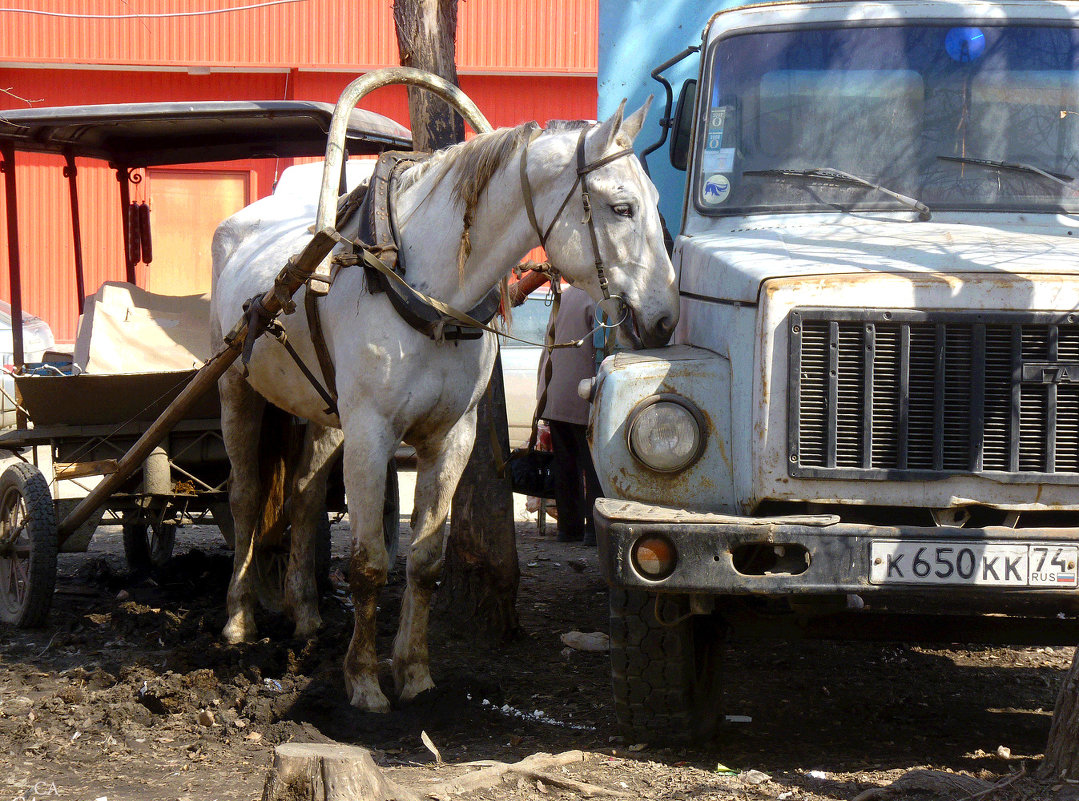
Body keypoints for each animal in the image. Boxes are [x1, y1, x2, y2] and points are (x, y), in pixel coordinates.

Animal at [209, 102, 677, 716]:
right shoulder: (371, 435)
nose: (665, 319)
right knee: (244, 498)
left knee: (305, 500)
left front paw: (413, 672)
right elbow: (368, 563)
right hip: (236, 387)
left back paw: (305, 614)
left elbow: (426, 561)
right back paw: (238, 618)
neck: (425, 290)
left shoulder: (451, 436)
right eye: (622, 208)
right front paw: (363, 682)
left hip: (323, 413)